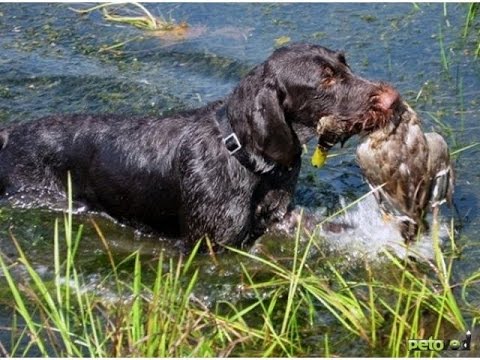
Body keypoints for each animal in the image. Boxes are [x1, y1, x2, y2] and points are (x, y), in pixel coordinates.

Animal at [0, 43, 400, 249]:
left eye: (344, 64)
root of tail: (10, 133)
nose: (393, 99)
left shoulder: (279, 217)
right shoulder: (207, 247)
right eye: (326, 79)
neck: (246, 158)